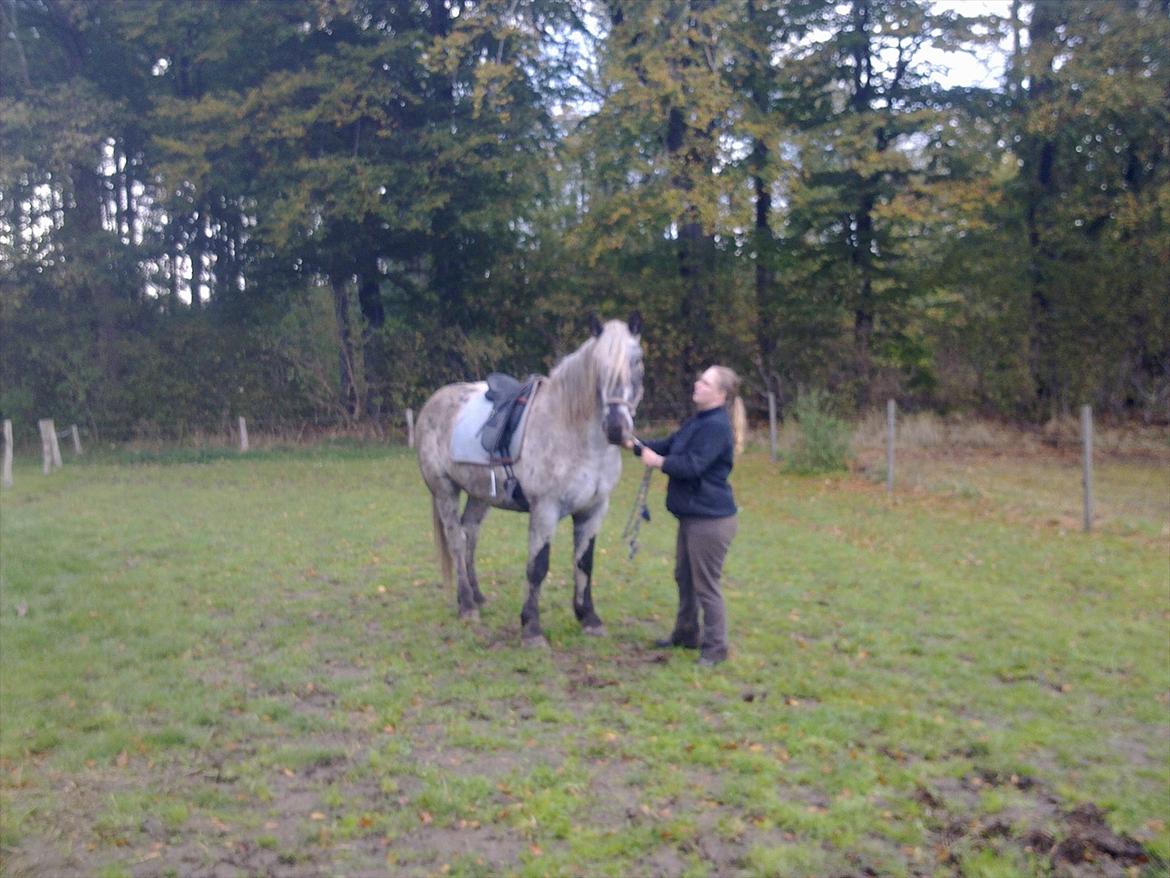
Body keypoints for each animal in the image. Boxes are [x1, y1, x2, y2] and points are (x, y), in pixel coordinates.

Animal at [416, 313, 645, 646]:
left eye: (637, 361)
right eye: (598, 365)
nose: (617, 427)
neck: (572, 431)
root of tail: (434, 402)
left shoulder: (593, 510)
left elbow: (584, 562)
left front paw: (589, 618)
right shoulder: (545, 510)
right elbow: (538, 567)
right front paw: (531, 629)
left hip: (480, 494)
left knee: (470, 533)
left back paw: (478, 596)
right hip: (445, 490)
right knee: (457, 540)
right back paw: (467, 605)